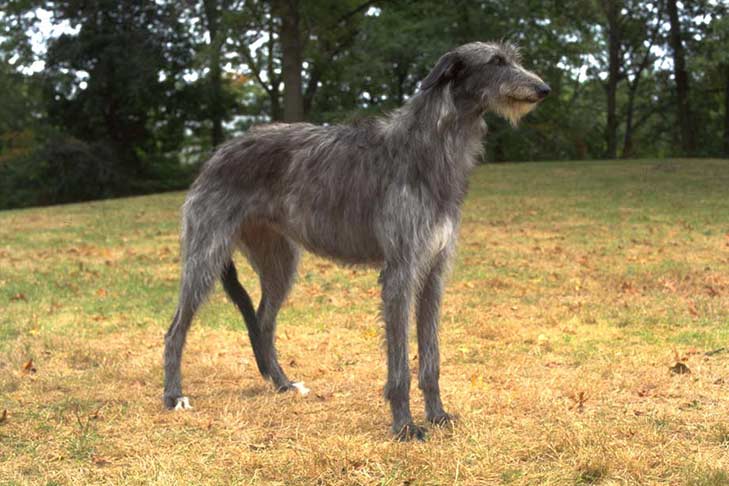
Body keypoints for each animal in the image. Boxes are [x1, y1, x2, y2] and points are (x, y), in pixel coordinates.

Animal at [165, 40, 548, 440]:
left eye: (513, 59)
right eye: (496, 61)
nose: (545, 89)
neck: (430, 145)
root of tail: (215, 155)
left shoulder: (434, 271)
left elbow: (431, 357)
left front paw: (438, 414)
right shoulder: (400, 271)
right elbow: (400, 363)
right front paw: (404, 426)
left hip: (279, 261)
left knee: (264, 321)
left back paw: (283, 384)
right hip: (205, 254)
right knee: (176, 329)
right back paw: (174, 396)